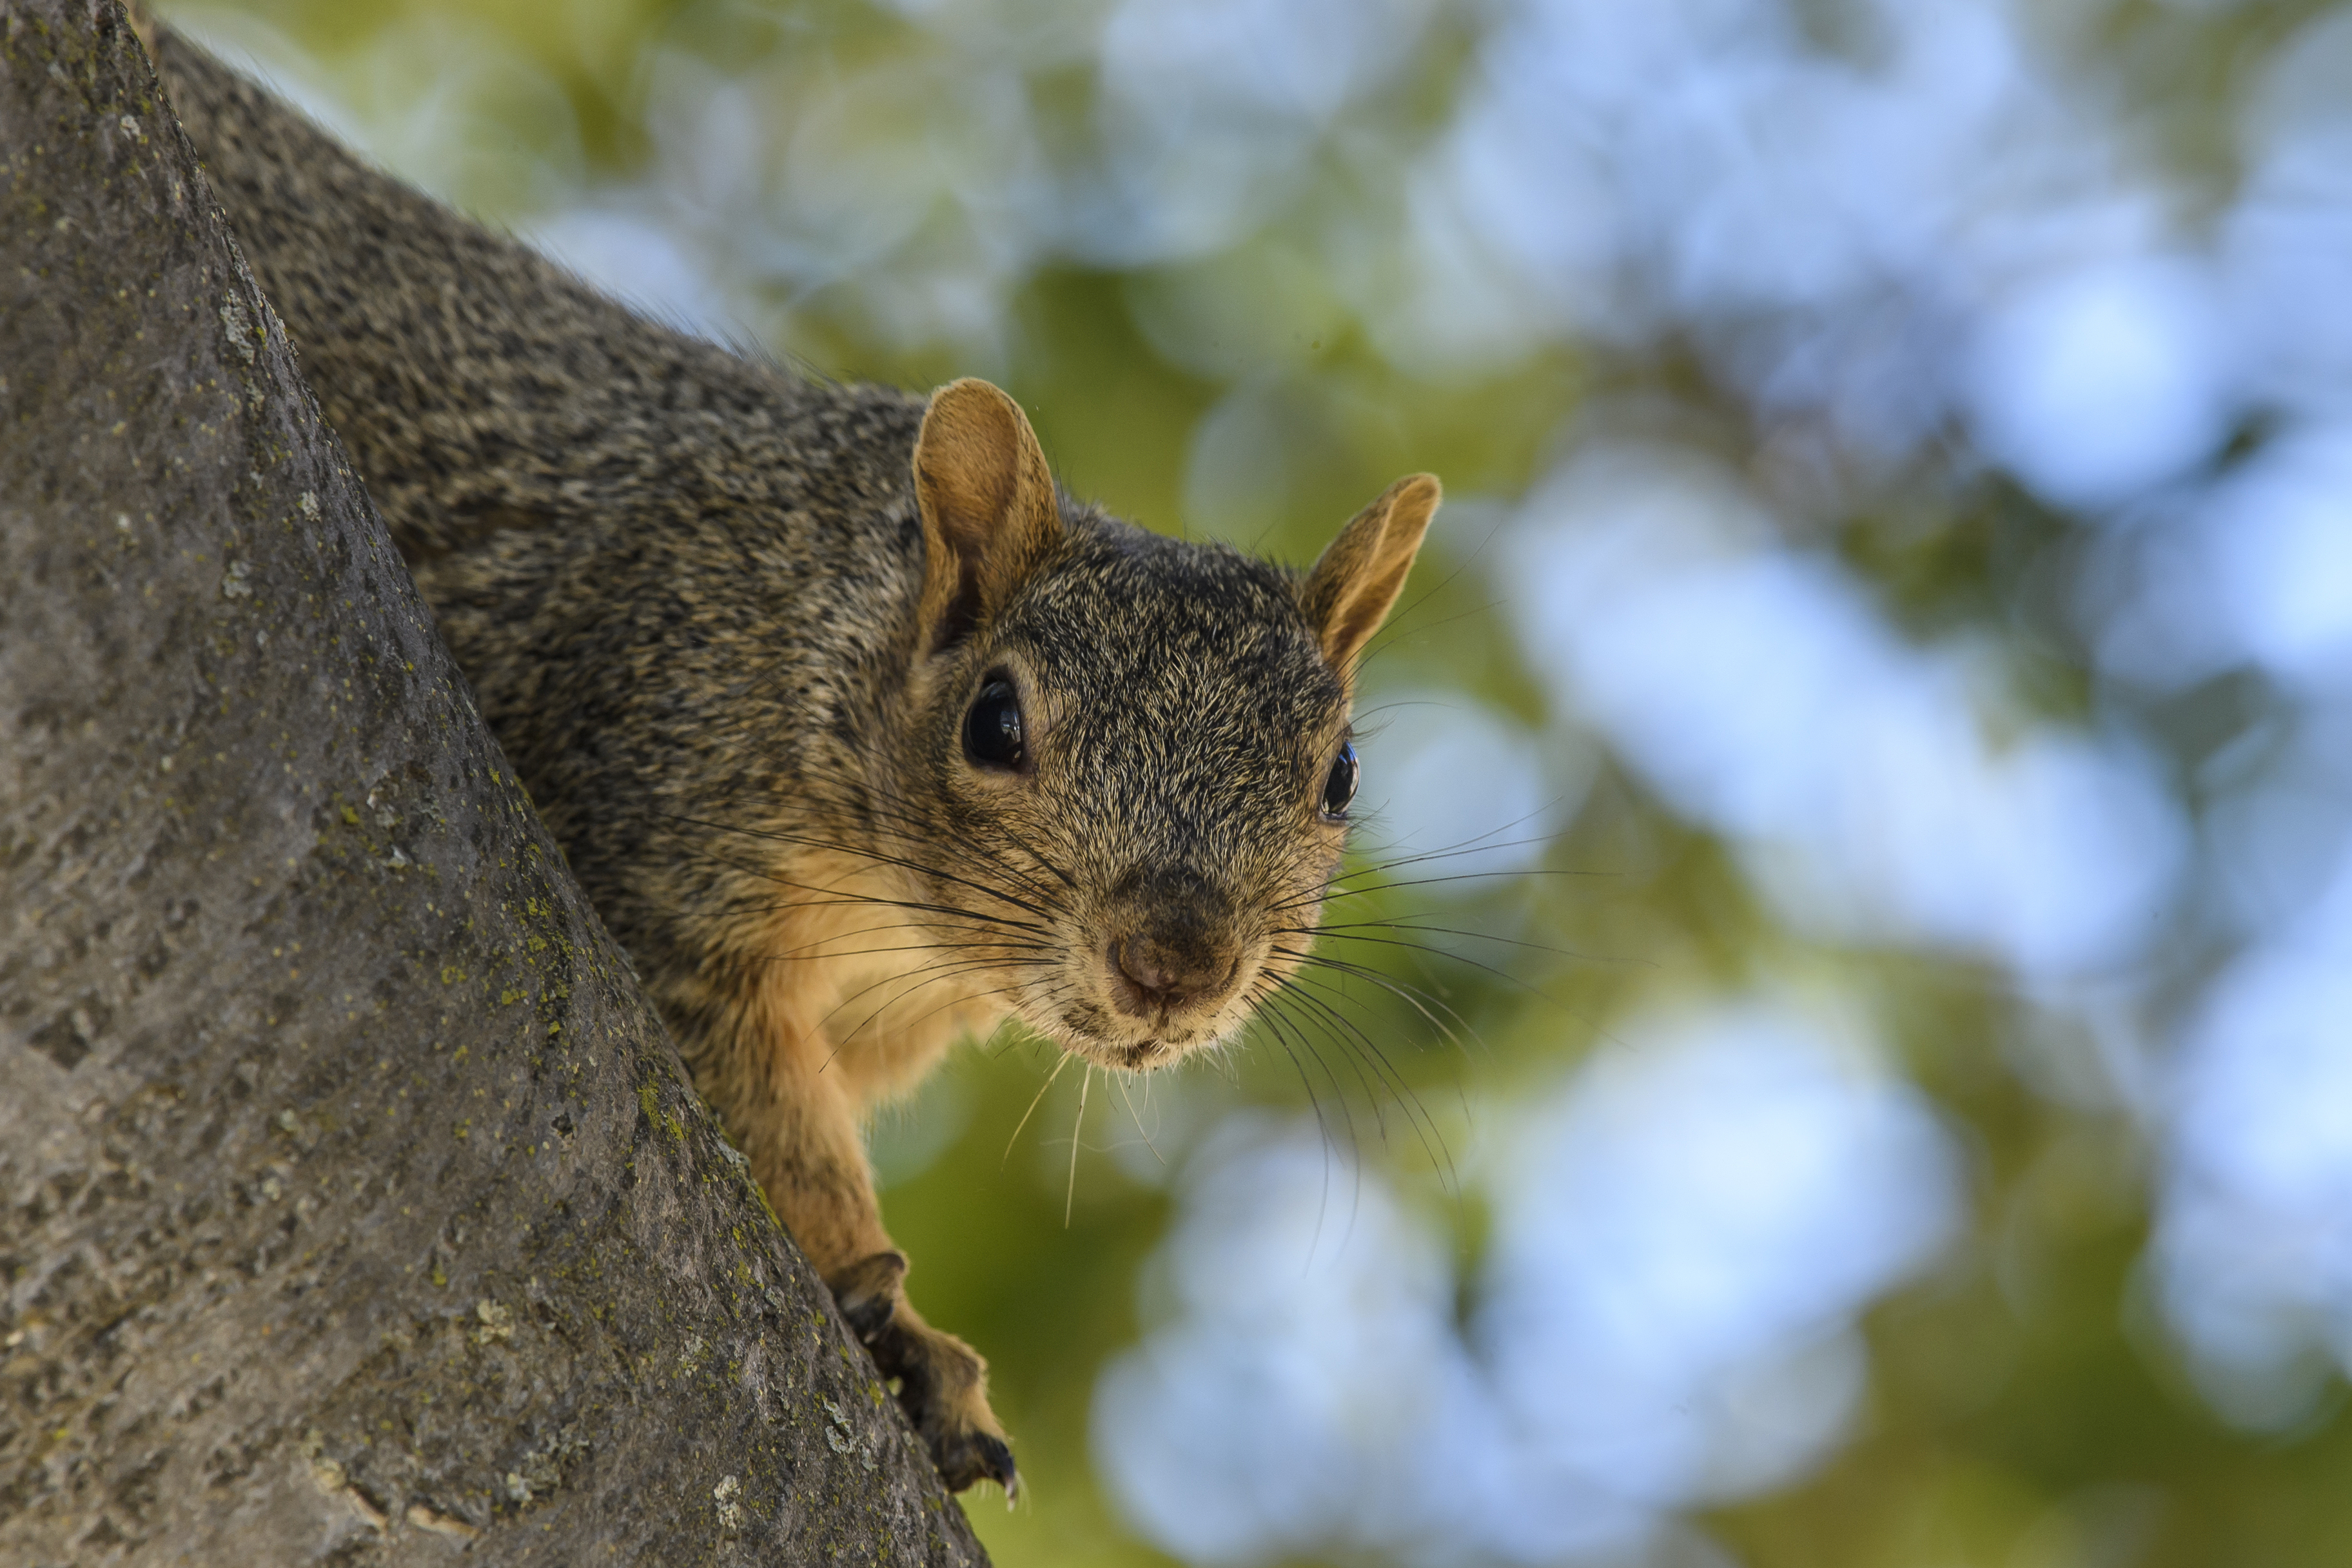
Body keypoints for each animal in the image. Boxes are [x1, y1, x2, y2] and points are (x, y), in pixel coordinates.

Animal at [143, 23, 1439, 1498]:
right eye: (995, 722)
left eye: (1339, 775)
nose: (1175, 962)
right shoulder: (657, 816)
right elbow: (765, 1122)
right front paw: (908, 1333)